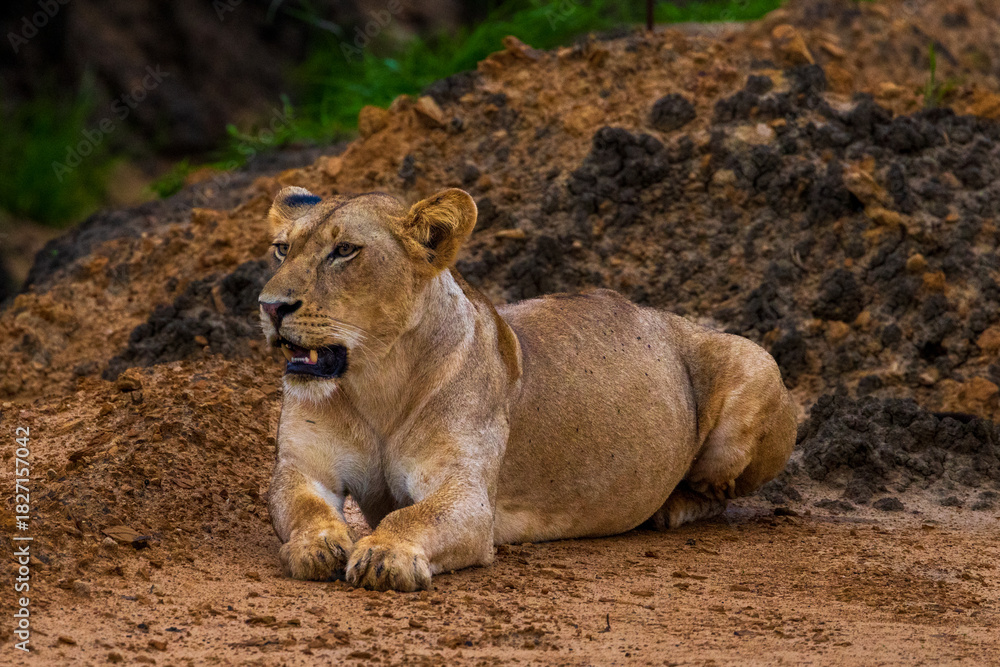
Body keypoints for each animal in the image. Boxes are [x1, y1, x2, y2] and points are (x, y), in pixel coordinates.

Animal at [259, 186, 797, 592]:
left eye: (344, 251)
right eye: (282, 248)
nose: (270, 306)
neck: (375, 384)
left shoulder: (467, 494)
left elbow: (411, 517)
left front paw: (384, 556)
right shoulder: (303, 468)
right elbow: (304, 506)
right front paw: (317, 547)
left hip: (757, 364)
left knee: (718, 493)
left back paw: (670, 508)